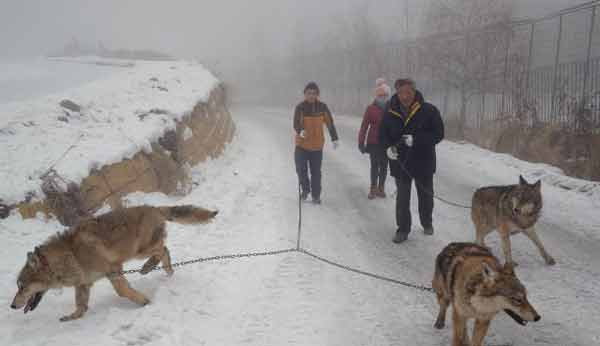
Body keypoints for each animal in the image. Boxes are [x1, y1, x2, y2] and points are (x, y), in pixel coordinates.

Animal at [10, 205, 218, 322]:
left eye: (21, 286)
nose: (12, 306)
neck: (71, 256)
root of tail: (154, 207)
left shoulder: (113, 271)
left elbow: (123, 291)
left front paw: (145, 302)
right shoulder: (84, 284)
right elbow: (81, 306)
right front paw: (72, 317)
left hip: (139, 251)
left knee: (163, 250)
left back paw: (149, 267)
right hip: (140, 251)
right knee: (165, 251)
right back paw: (166, 271)